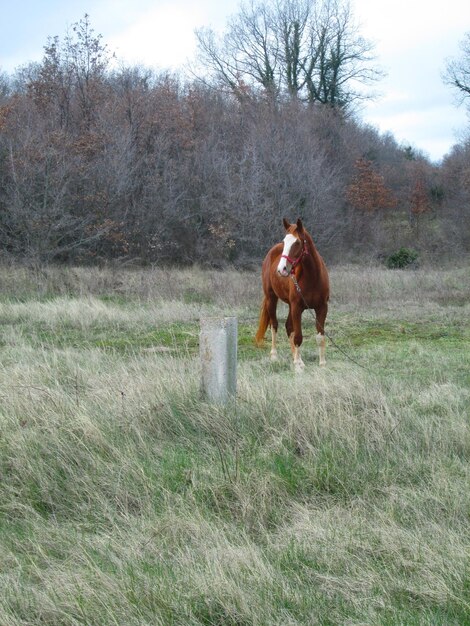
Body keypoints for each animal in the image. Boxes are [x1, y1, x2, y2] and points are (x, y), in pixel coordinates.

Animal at [255, 217, 328, 370]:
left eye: (298, 242)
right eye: (284, 241)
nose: (282, 269)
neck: (313, 277)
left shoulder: (322, 307)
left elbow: (320, 336)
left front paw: (322, 364)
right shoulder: (297, 307)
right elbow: (298, 336)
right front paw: (298, 366)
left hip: (290, 305)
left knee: (289, 327)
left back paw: (297, 359)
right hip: (272, 299)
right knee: (275, 325)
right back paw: (275, 356)